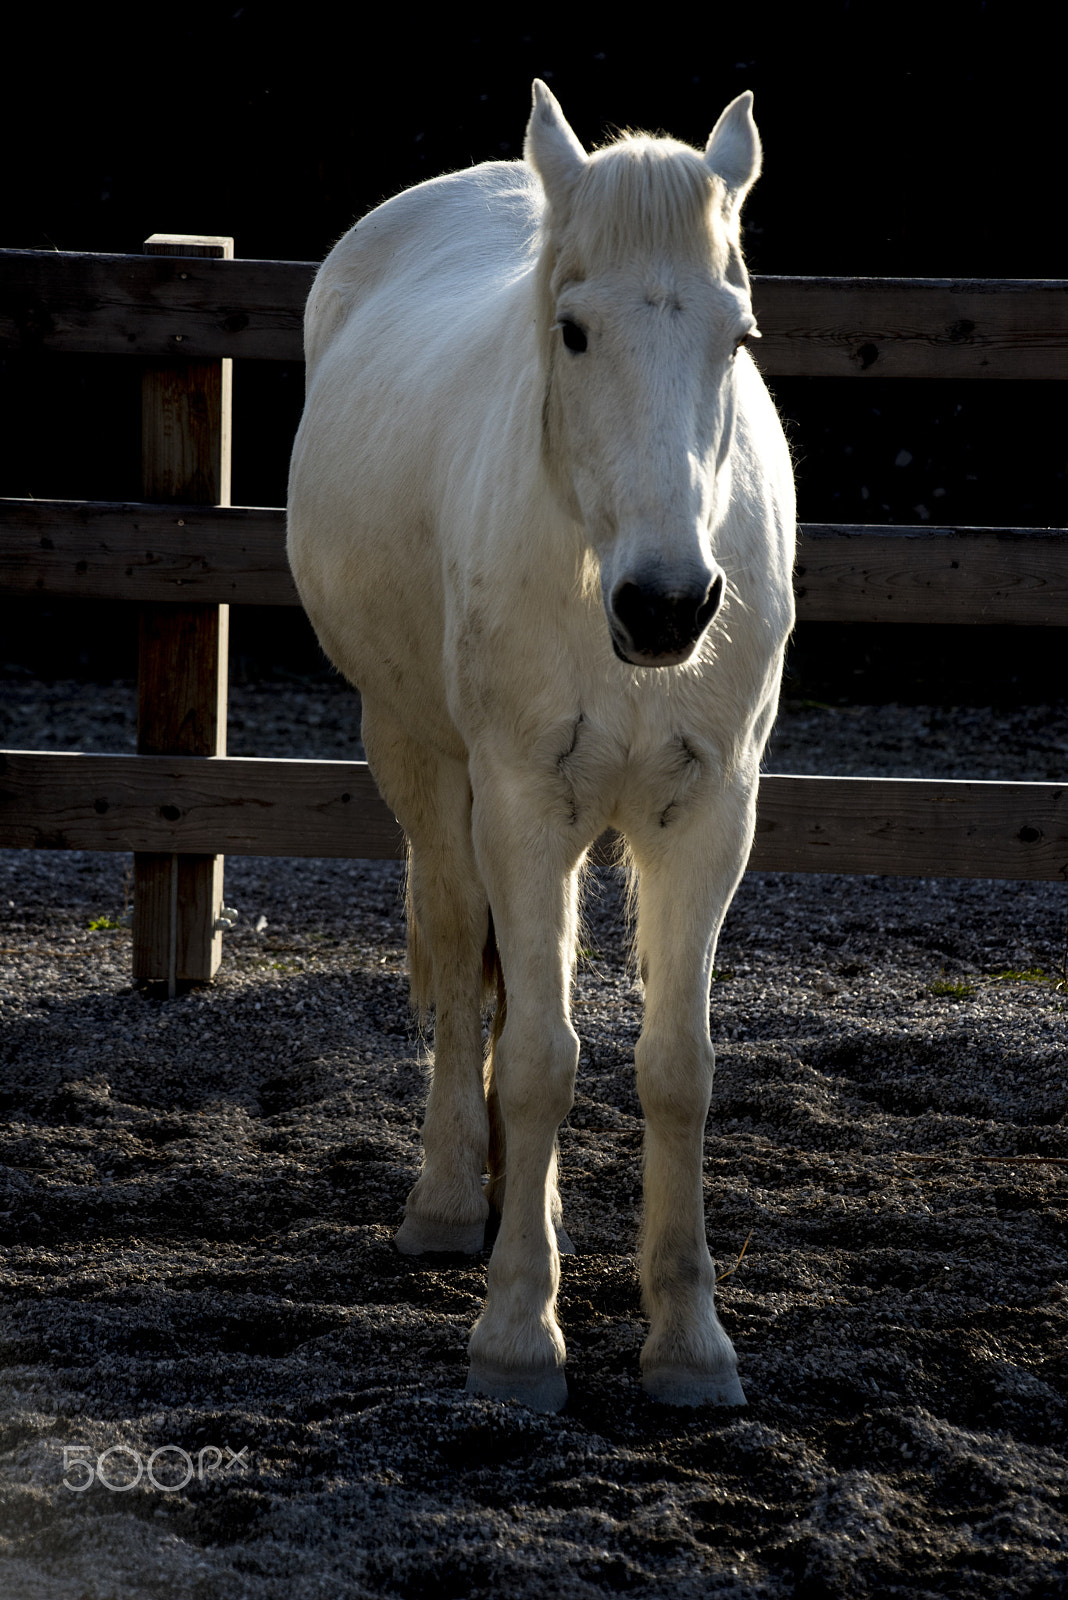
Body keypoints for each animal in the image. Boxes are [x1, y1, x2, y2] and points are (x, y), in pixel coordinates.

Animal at [287, 84, 796, 1414]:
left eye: (738, 336)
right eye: (571, 332)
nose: (669, 607)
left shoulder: (710, 817)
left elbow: (676, 1066)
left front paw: (689, 1343)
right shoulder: (520, 804)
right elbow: (534, 1060)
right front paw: (519, 1335)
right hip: (423, 759)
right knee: (464, 968)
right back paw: (452, 1202)